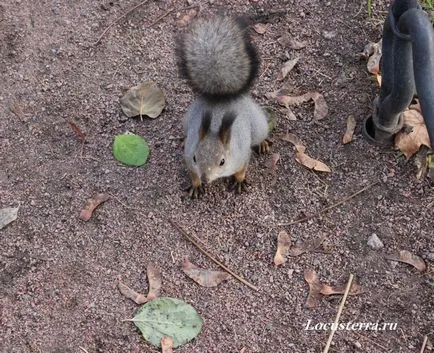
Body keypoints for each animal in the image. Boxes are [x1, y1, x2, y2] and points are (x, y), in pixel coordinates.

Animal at [176, 15, 268, 197]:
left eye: (222, 161)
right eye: (195, 157)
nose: (205, 179)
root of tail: (222, 96)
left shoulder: (241, 156)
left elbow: (242, 170)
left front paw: (239, 181)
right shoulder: (189, 157)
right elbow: (192, 172)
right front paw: (196, 184)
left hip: (258, 124)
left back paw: (262, 143)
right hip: (187, 121)